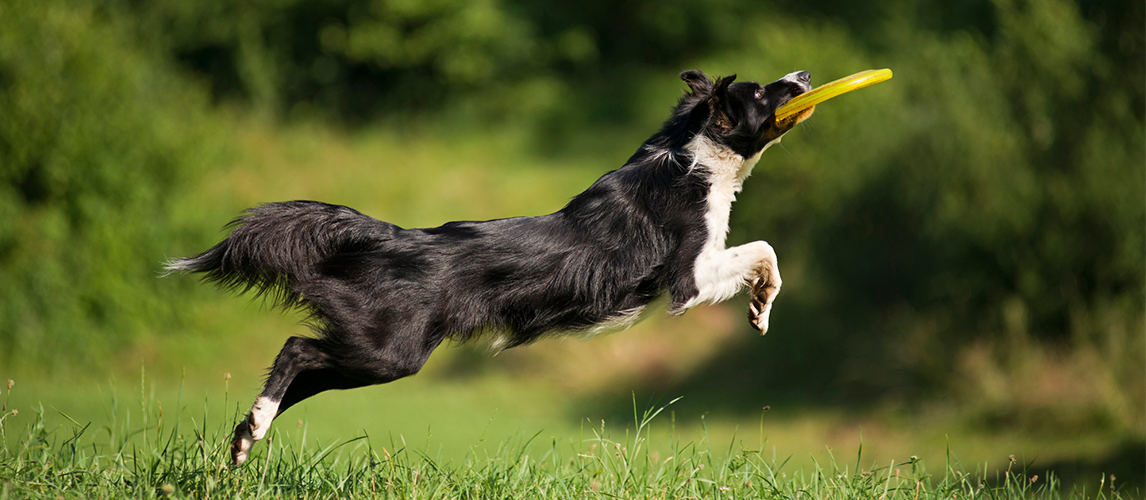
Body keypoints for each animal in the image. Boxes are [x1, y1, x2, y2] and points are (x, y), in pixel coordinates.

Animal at [167, 69, 815, 465]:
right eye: (762, 94)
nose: (805, 77)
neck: (692, 154)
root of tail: (390, 236)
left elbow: (764, 252)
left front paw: (760, 308)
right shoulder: (687, 276)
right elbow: (762, 249)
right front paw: (761, 303)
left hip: (369, 351)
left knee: (301, 373)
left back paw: (246, 438)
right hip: (387, 351)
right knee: (297, 349)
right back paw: (254, 426)